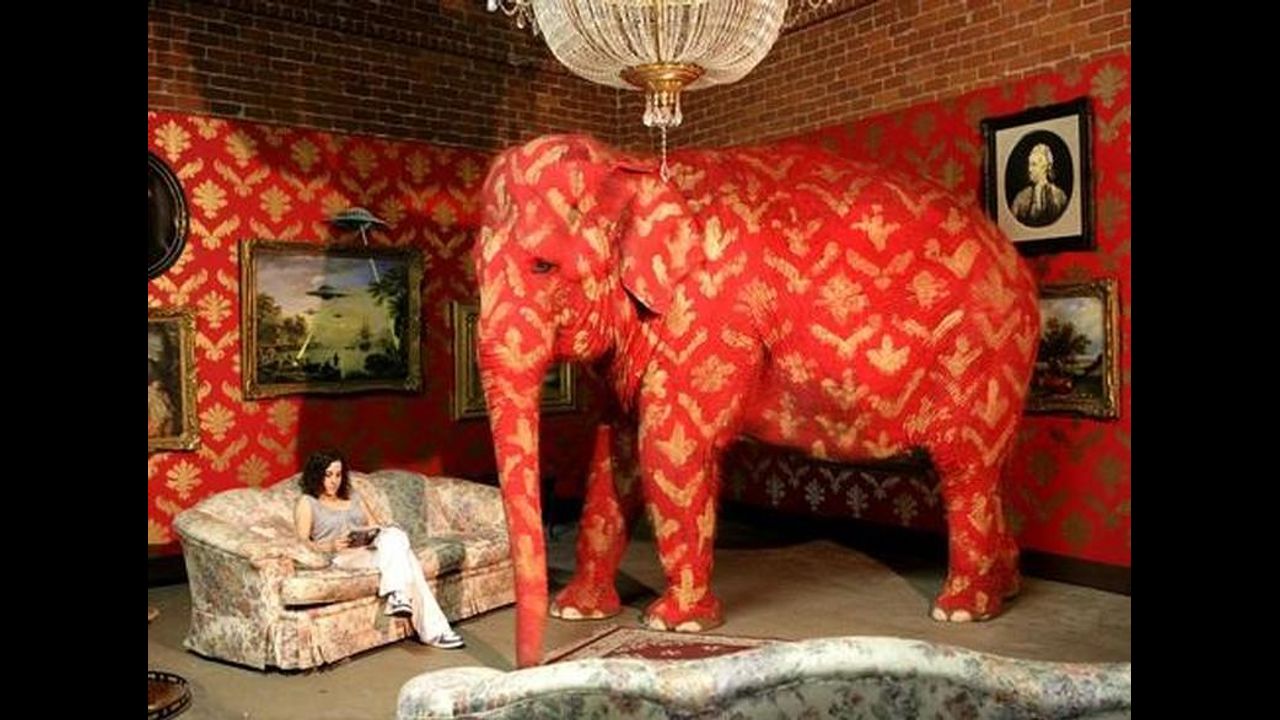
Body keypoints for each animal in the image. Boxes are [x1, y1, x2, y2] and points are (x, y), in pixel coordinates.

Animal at [472, 134, 1040, 668]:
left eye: (542, 266)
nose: (529, 664)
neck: (638, 165)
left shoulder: (708, 317)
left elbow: (671, 448)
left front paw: (675, 625)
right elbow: (614, 454)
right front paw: (578, 611)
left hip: (980, 353)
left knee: (965, 467)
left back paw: (961, 611)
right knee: (994, 471)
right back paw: (1007, 592)